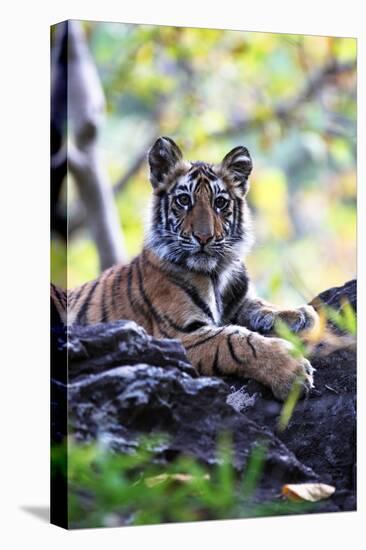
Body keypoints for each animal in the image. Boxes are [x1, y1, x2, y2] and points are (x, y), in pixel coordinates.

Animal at [53, 137, 318, 402]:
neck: (217, 273)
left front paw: (299, 313)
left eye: (219, 202)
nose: (204, 237)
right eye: (184, 200)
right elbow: (236, 341)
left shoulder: (235, 302)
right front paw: (291, 371)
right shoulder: (178, 336)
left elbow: (256, 304)